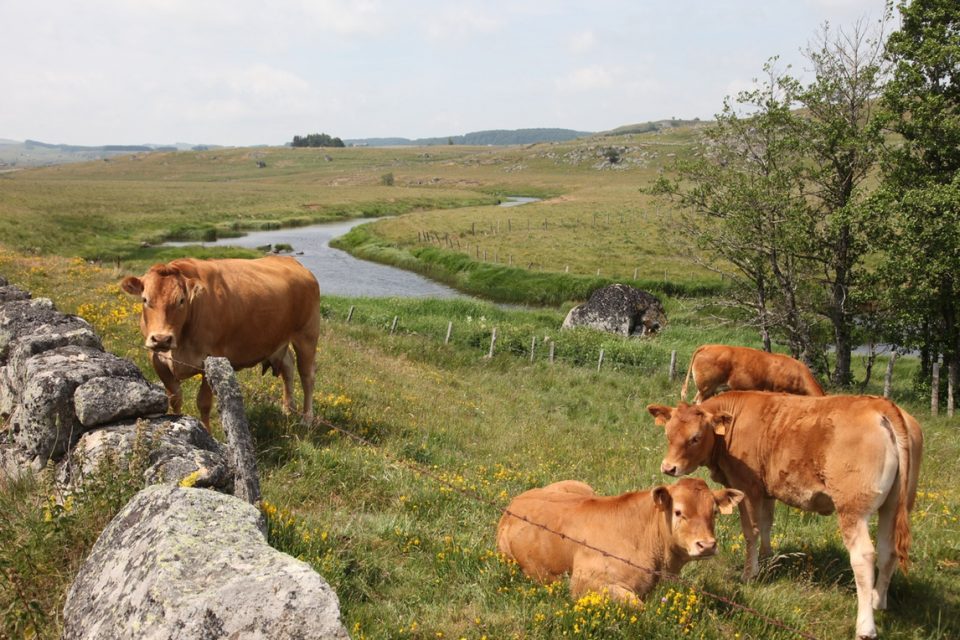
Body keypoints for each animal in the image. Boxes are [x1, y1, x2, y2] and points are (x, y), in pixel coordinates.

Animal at [121, 256, 321, 428]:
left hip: (307, 335)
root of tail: (292, 262)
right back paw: (288, 410)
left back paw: (306, 419)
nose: (162, 338)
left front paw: (207, 432)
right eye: (145, 299)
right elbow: (175, 397)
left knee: (307, 376)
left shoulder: (211, 358)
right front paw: (178, 421)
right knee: (288, 367)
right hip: (279, 340)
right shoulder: (157, 359)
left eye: (181, 300)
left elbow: (203, 403)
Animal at [496, 478, 743, 605]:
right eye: (678, 512)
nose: (707, 545)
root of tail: (515, 502)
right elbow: (640, 608)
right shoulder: (584, 583)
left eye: (715, 512)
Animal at [647, 392, 923, 640]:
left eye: (695, 438)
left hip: (853, 510)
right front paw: (767, 560)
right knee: (888, 551)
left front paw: (749, 573)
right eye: (668, 434)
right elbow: (767, 524)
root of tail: (882, 405)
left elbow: (751, 531)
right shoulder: (767, 489)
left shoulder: (746, 488)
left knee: (864, 557)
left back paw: (865, 626)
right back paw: (878, 601)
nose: (668, 467)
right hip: (894, 506)